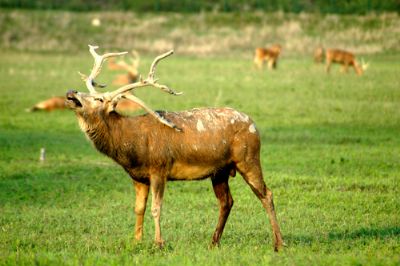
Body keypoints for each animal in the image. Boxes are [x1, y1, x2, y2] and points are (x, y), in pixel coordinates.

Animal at [65, 44, 282, 251]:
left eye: (99, 99)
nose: (71, 92)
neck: (131, 146)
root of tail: (254, 125)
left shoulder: (159, 168)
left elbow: (156, 207)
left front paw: (159, 243)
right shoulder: (138, 177)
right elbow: (139, 208)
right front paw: (136, 242)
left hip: (248, 157)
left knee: (266, 194)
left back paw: (279, 243)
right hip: (219, 171)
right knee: (227, 201)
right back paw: (214, 242)